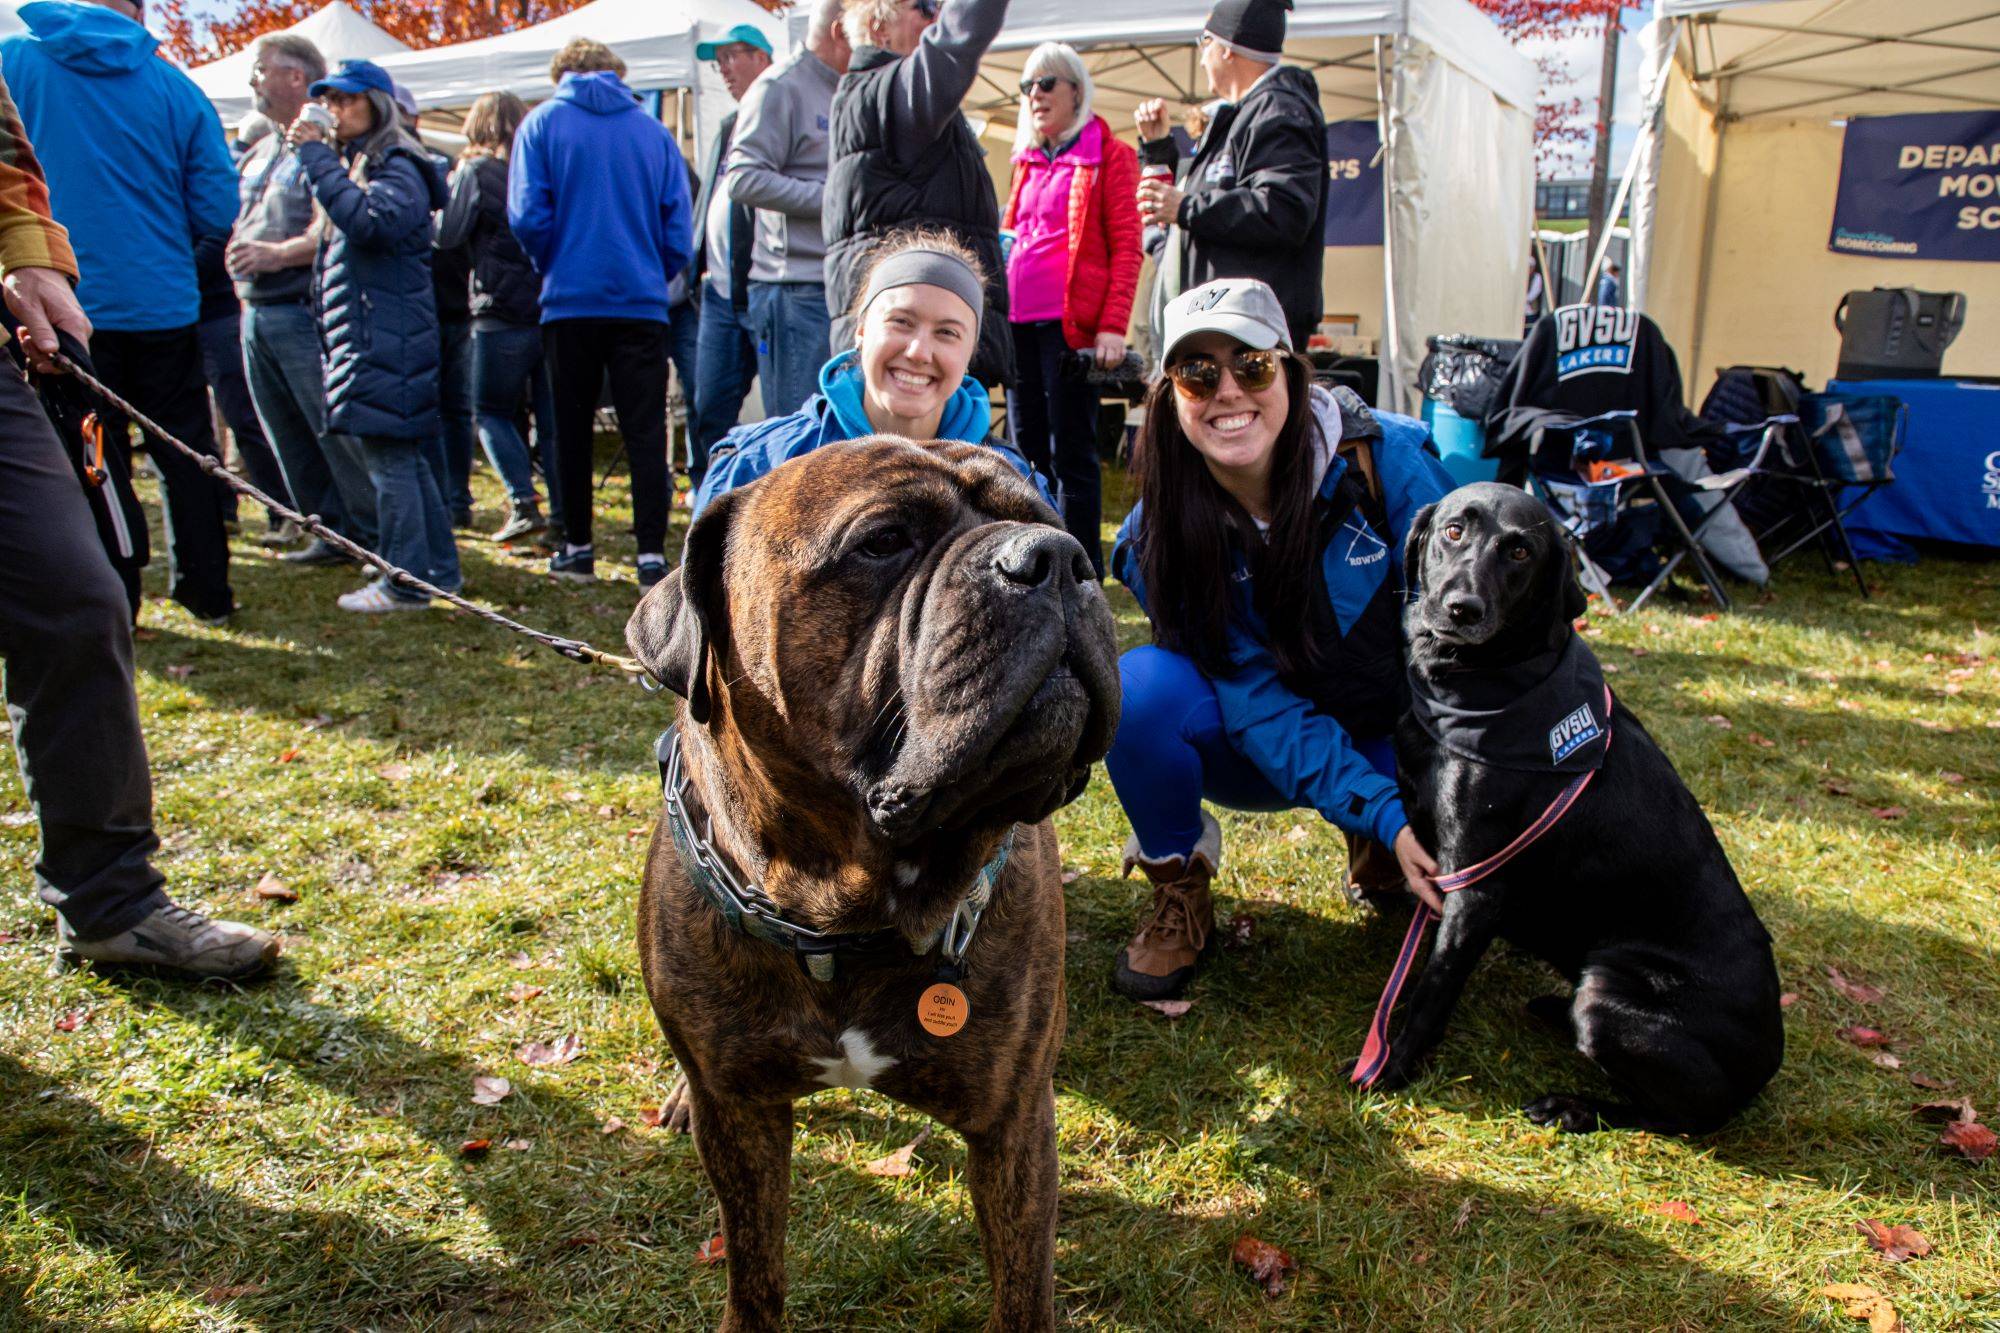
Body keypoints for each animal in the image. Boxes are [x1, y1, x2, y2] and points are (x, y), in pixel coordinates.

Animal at [628, 438, 1128, 1328]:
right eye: (884, 541)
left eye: (1052, 522)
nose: (1058, 558)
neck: (842, 912)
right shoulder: (743, 1119)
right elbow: (753, 1264)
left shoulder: (1013, 1124)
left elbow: (1022, 1279)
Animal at [1376, 482, 1784, 1128]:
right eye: (1453, 530)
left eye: (1520, 551)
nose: (1462, 607)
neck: (1480, 686)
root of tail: (1769, 1060)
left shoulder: (1477, 886)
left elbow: (1433, 989)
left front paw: (1392, 1066)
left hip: (1607, 995)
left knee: (1679, 1120)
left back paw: (1570, 1107)